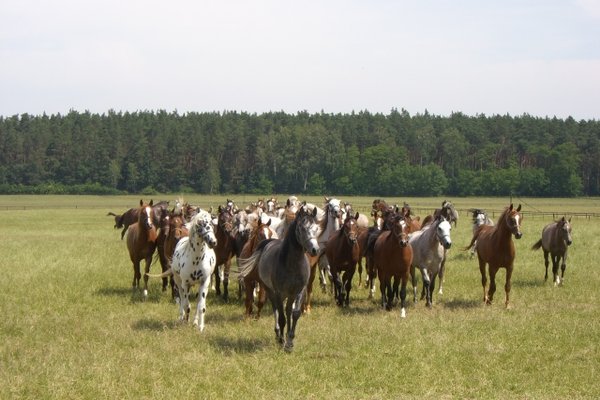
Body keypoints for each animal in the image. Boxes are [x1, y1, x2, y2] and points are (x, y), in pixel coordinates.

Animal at [238, 205, 322, 352]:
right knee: (276, 309)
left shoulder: (299, 291)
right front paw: (282, 340)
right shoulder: (278, 292)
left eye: (316, 228)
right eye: (302, 228)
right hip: (271, 291)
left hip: (289, 294)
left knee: (287, 310)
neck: (292, 264)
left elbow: (295, 314)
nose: (315, 250)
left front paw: (290, 341)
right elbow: (281, 316)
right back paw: (278, 334)